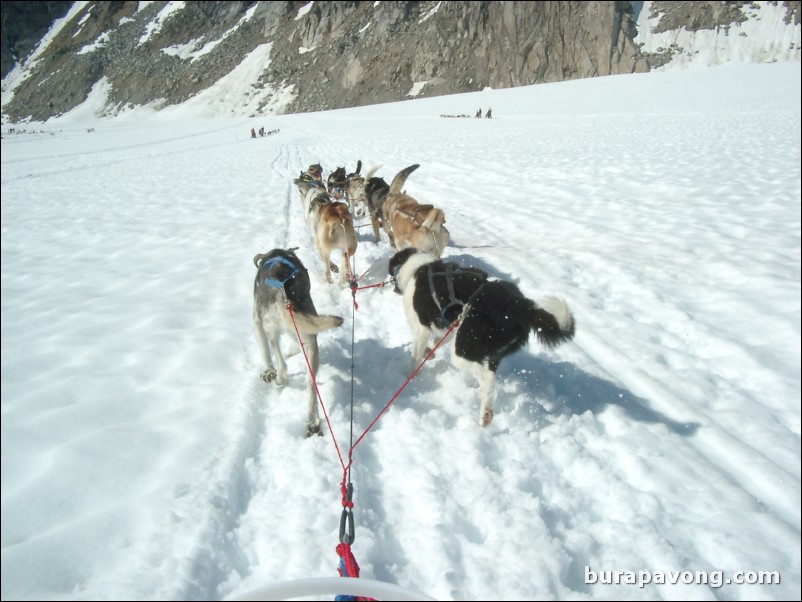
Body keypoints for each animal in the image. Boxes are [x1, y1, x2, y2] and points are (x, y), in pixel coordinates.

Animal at [252, 246, 342, 434]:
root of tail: (283, 292)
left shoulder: (256, 320)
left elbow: (264, 352)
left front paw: (268, 371)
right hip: (310, 342)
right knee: (310, 385)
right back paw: (313, 422)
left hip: (271, 329)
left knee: (281, 363)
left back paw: (278, 377)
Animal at [388, 248, 576, 426]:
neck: (416, 268)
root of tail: (517, 304)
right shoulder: (452, 326)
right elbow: (436, 342)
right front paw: (430, 352)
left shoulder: (421, 330)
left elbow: (415, 358)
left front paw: (409, 376)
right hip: (490, 352)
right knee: (489, 377)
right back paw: (480, 395)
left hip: (462, 351)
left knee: (488, 379)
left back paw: (485, 413)